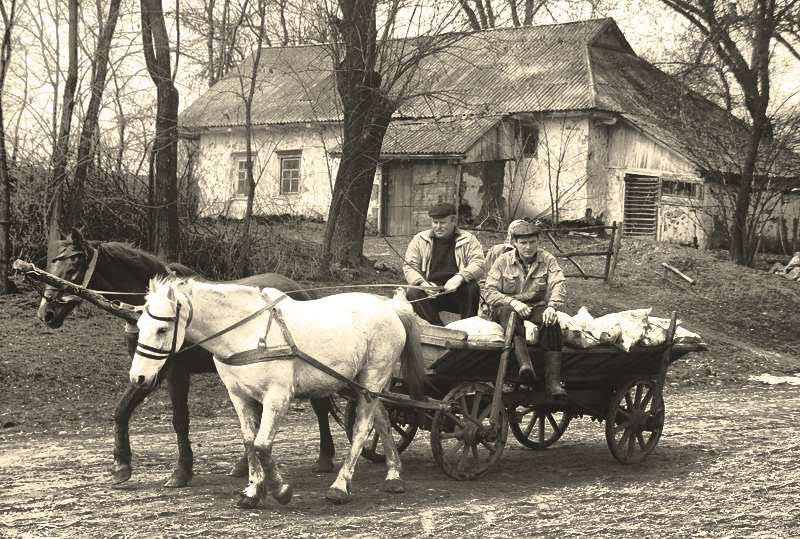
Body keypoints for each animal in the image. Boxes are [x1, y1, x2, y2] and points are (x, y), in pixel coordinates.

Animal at [36, 228, 338, 490]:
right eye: (54, 261)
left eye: (74, 263)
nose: (46, 312)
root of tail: (299, 289)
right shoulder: (148, 371)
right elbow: (121, 410)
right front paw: (121, 465)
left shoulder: (175, 373)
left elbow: (179, 419)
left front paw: (181, 471)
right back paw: (244, 465)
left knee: (320, 406)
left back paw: (325, 457)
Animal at [130, 278, 428, 510]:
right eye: (140, 326)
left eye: (162, 329)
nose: (138, 378)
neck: (246, 333)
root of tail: (389, 307)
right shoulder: (239, 396)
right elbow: (250, 442)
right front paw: (252, 492)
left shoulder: (278, 397)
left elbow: (262, 445)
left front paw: (280, 490)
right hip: (362, 383)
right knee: (383, 419)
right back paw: (393, 475)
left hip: (374, 377)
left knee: (362, 428)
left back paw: (340, 486)